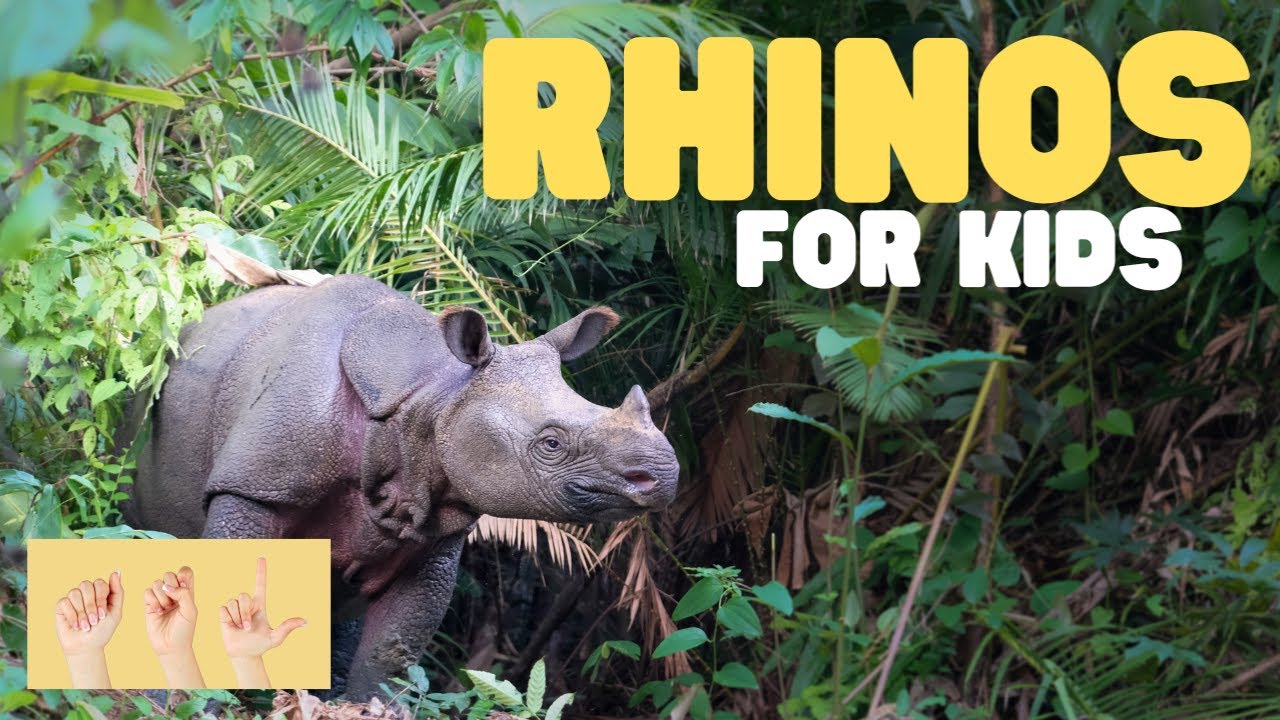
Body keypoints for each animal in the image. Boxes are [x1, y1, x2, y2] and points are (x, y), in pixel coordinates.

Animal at [125, 274, 679, 698]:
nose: (664, 474)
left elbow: (394, 650)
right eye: (550, 444)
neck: (431, 399)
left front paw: (366, 706)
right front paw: (175, 702)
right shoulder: (257, 482)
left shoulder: (432, 529)